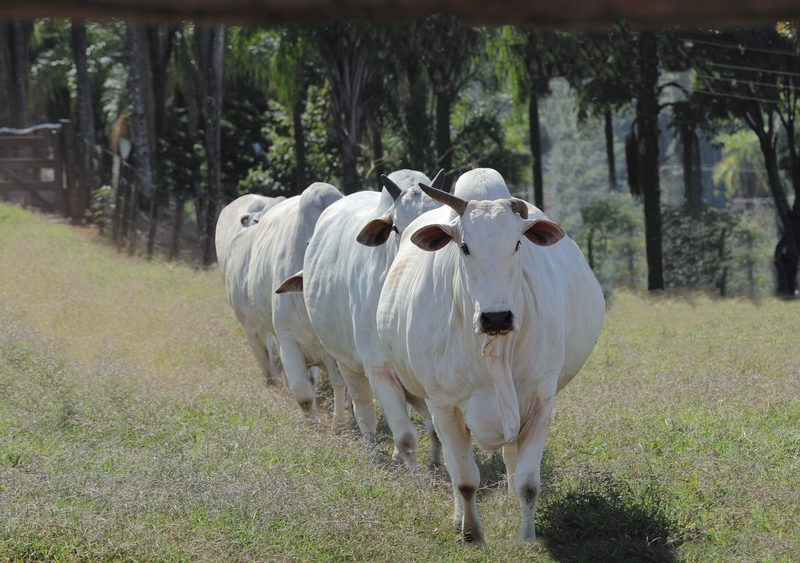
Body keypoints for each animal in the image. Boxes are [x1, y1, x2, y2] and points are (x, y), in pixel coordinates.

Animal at [278, 170, 444, 470]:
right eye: (395, 228)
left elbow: (434, 426)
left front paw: (434, 465)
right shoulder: (376, 366)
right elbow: (405, 436)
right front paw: (414, 474)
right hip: (347, 363)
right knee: (364, 408)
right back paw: (374, 453)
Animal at [378, 169, 604, 548]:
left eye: (517, 245)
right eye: (464, 246)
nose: (496, 317)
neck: (494, 352)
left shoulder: (540, 401)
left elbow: (527, 483)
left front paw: (527, 537)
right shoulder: (445, 407)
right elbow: (465, 479)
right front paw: (471, 533)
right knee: (453, 464)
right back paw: (458, 517)